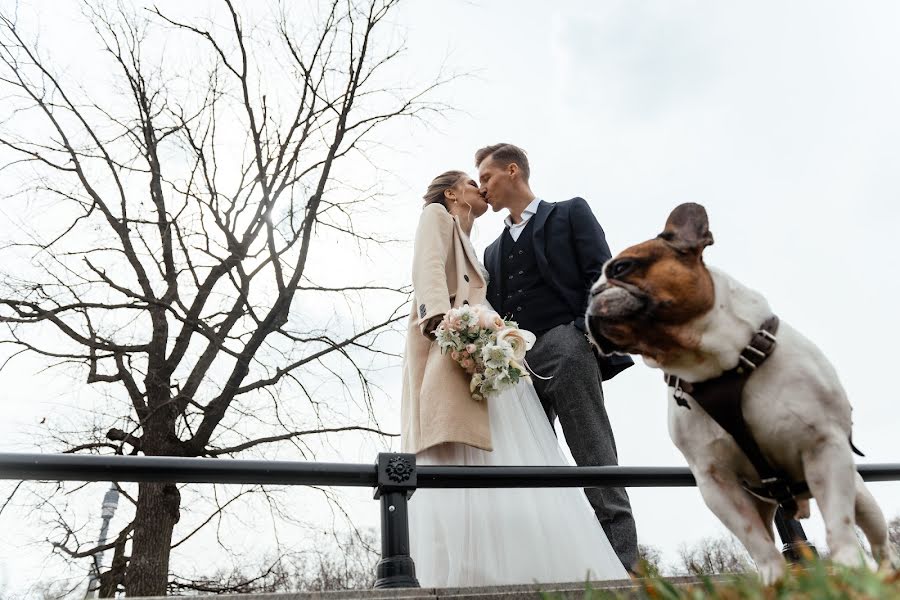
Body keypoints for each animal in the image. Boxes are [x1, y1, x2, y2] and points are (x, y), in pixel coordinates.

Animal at [588, 204, 896, 584]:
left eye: (622, 268)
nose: (591, 296)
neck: (712, 363)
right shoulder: (716, 482)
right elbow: (754, 540)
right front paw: (774, 580)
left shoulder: (825, 447)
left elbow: (839, 522)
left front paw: (849, 569)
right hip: (760, 502)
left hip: (861, 495)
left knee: (878, 539)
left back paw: (885, 575)